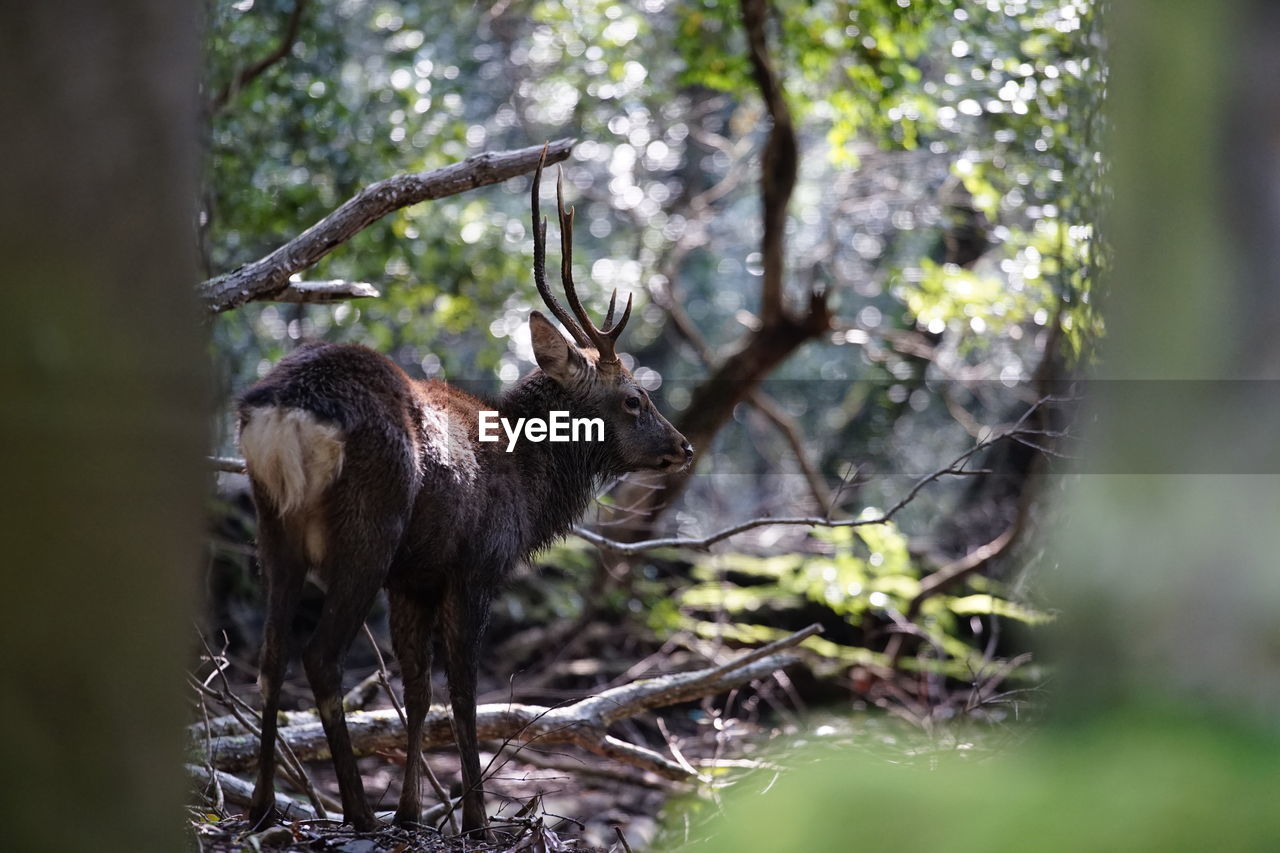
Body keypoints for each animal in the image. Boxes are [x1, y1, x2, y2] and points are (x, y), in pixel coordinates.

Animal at [238, 144, 691, 829]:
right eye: (636, 398)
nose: (683, 446)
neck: (528, 488)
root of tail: (288, 409)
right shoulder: (477, 564)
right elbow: (464, 692)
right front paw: (472, 818)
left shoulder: (415, 578)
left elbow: (419, 692)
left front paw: (411, 812)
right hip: (368, 528)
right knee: (318, 657)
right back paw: (356, 813)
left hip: (274, 524)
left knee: (268, 660)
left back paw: (265, 806)